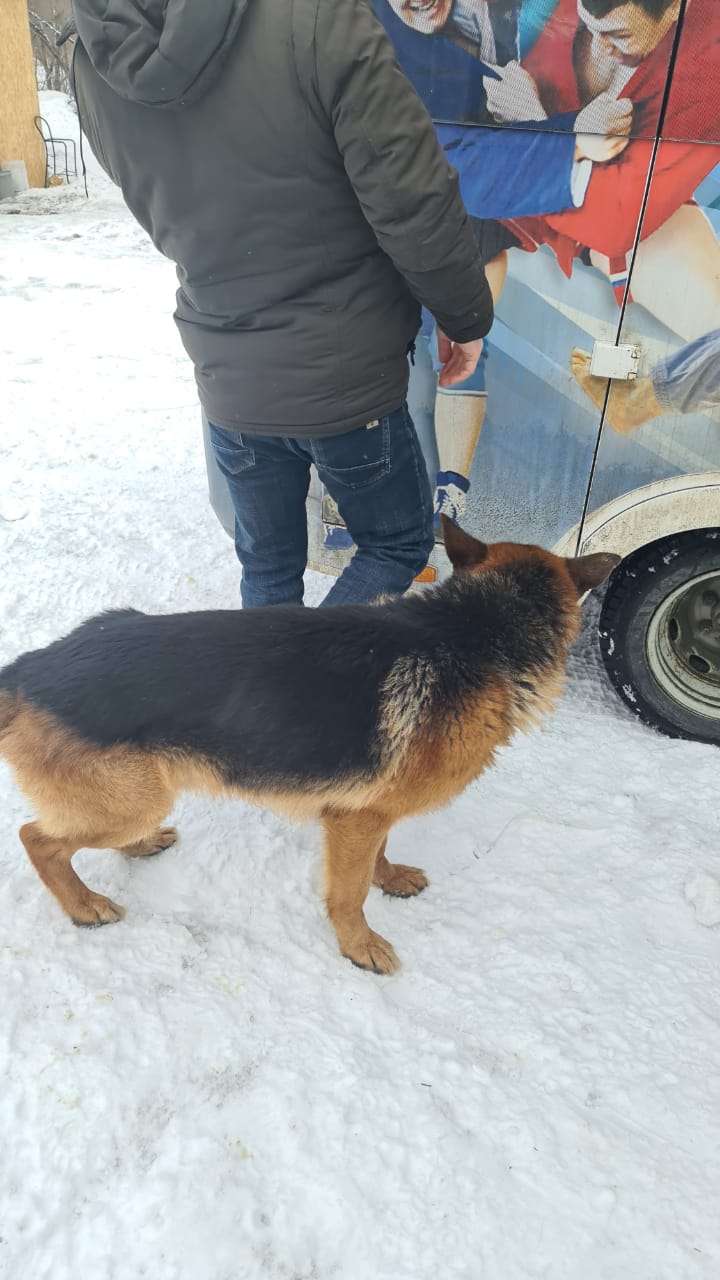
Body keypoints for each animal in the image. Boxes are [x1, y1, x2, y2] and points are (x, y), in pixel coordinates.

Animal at [1, 519, 617, 967]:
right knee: (39, 839)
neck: (476, 630)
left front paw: (390, 878)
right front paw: (359, 945)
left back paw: (139, 847)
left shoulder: (370, 810)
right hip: (134, 799)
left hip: (133, 796)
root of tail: (31, 668)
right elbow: (350, 893)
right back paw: (84, 906)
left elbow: (379, 854)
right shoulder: (354, 818)